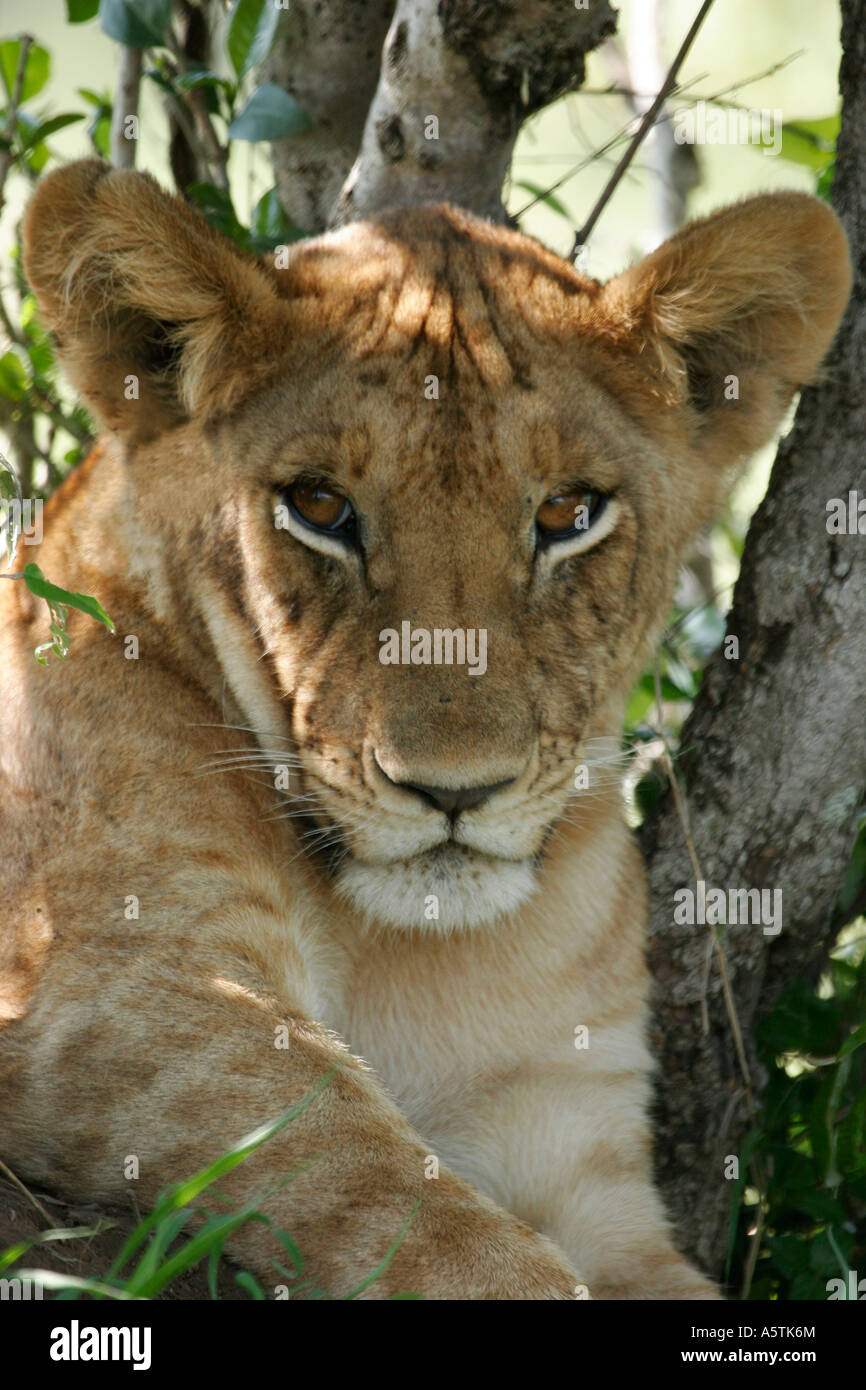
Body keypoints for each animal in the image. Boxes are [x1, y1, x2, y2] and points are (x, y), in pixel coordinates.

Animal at [0, 158, 850, 1299]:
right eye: (319, 505)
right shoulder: (107, 994)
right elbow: (408, 1205)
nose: (455, 792)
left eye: (568, 514)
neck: (410, 959)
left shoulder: (576, 1142)